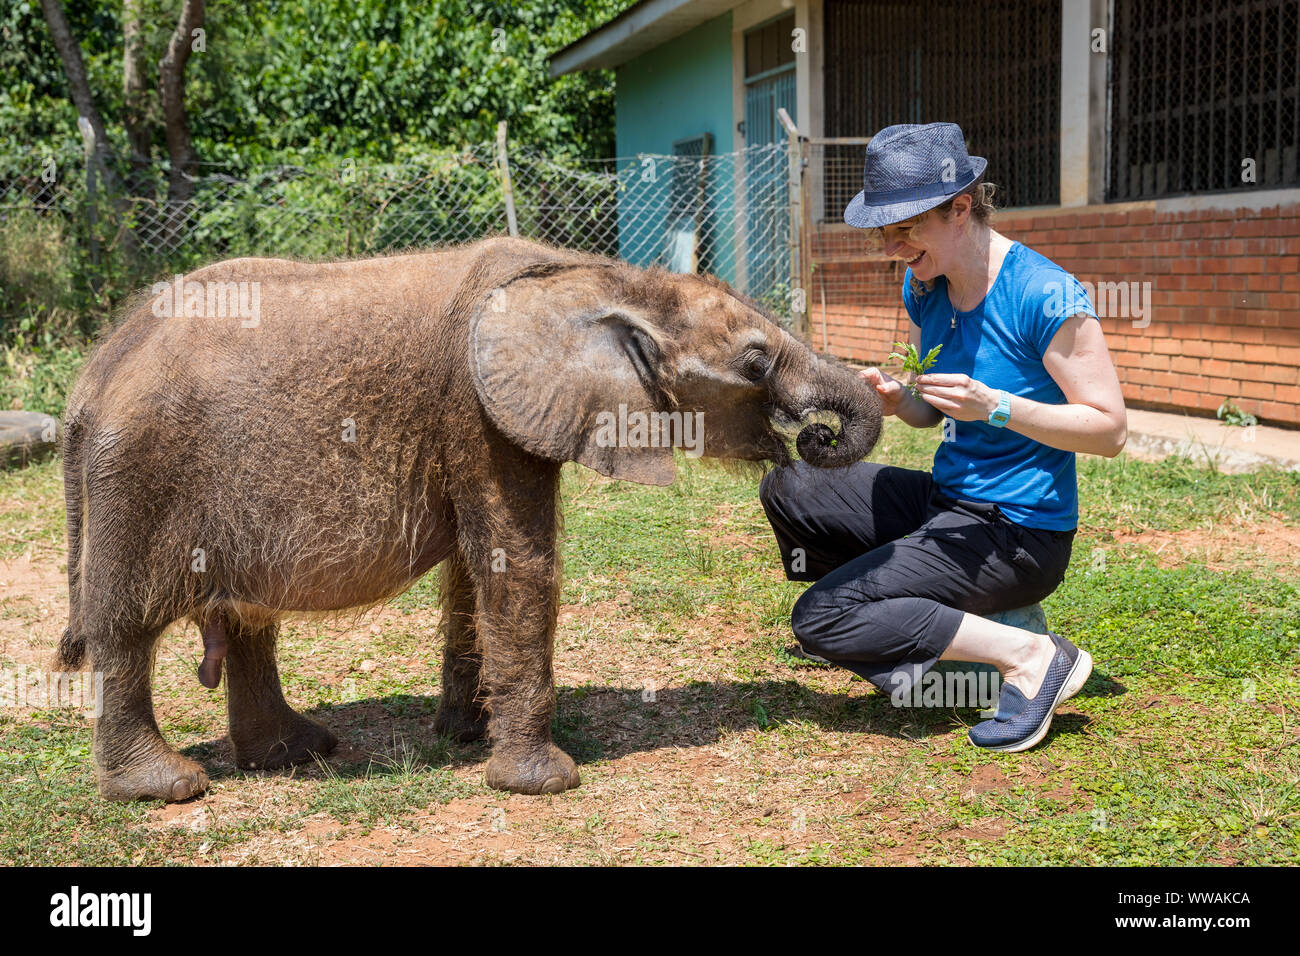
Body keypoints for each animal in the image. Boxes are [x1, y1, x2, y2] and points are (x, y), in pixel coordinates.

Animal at [53, 238, 883, 801]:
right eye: (755, 364)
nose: (814, 435)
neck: (597, 277)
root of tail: (90, 378)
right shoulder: (479, 415)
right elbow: (517, 567)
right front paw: (543, 782)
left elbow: (469, 575)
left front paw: (466, 736)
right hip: (141, 475)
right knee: (126, 627)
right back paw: (167, 787)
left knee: (248, 619)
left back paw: (298, 753)